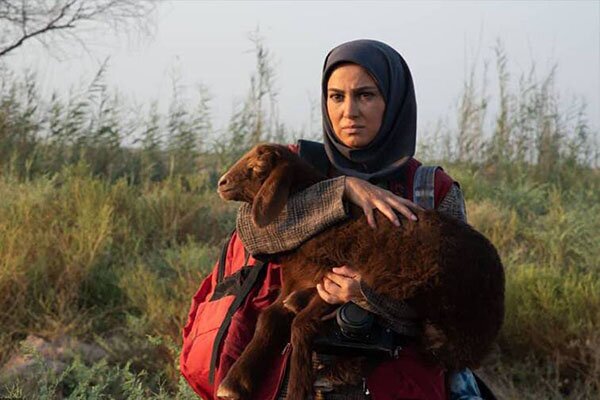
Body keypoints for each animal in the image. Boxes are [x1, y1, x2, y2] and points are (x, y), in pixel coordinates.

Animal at [213, 142, 504, 398]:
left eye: (259, 167)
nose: (222, 183)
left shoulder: (335, 277)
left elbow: (301, 325)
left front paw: (297, 390)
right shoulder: (298, 280)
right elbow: (268, 318)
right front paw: (233, 384)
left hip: (436, 301)